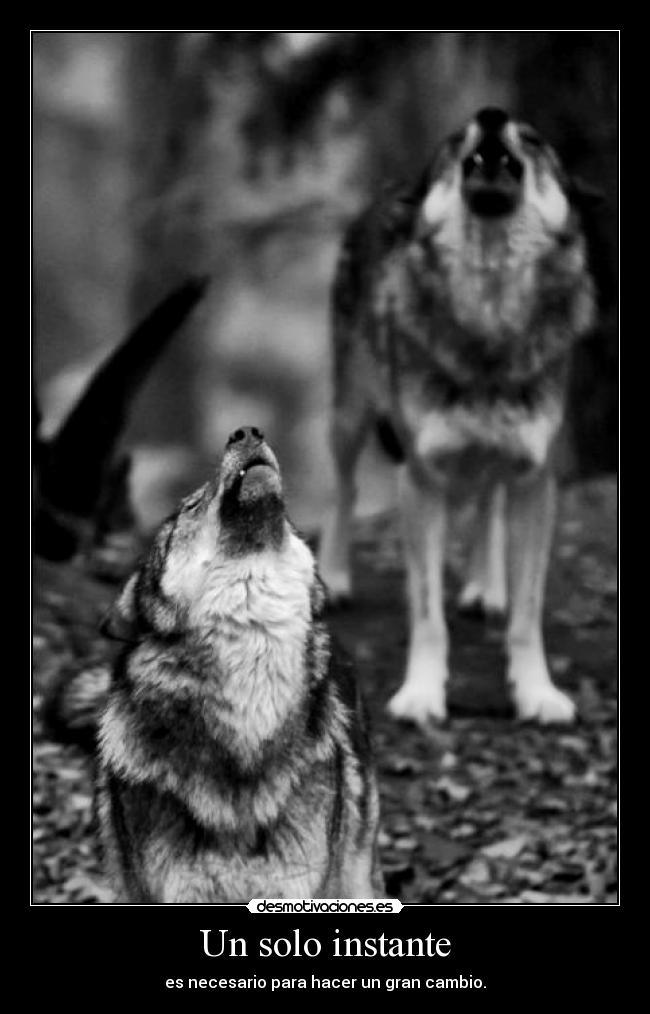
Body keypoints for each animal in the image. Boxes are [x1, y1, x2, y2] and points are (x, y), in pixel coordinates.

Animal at [318, 107, 600, 726]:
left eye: (533, 138)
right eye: (456, 140)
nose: (491, 115)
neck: (489, 314)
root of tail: (388, 191)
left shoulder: (535, 479)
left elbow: (526, 615)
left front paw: (536, 692)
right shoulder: (420, 477)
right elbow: (427, 615)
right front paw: (421, 694)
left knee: (486, 499)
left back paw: (484, 587)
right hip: (349, 417)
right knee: (344, 490)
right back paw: (337, 577)